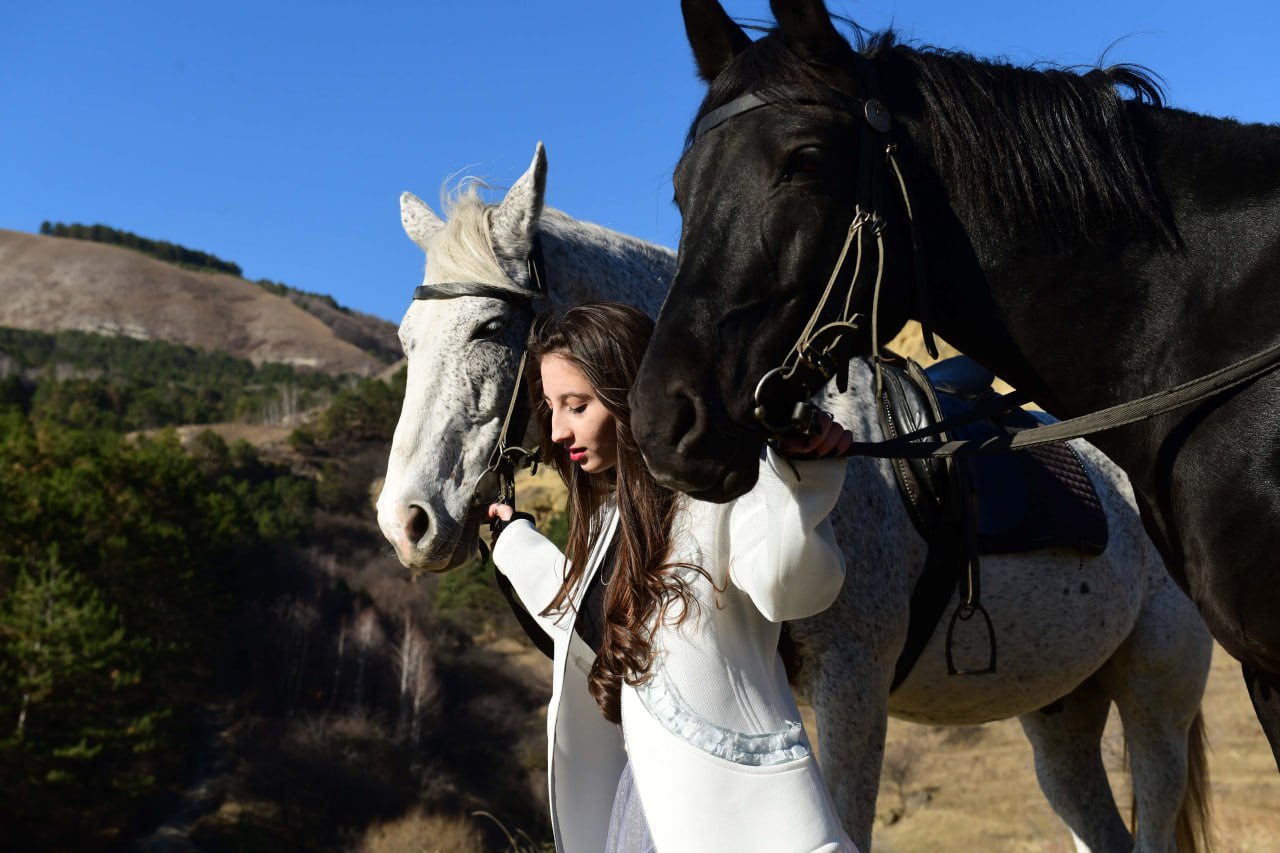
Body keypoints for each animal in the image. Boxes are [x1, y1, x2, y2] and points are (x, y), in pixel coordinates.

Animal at [376, 142, 1208, 845]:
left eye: (489, 327)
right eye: (408, 339)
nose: (406, 520)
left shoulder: (852, 682)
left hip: (1157, 698)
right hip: (1061, 711)